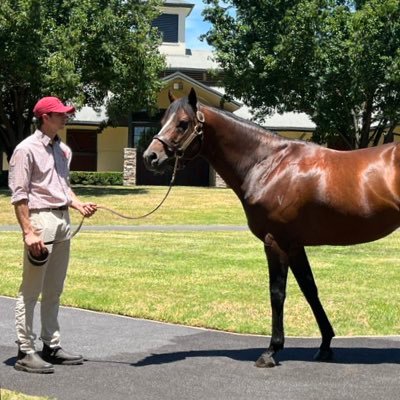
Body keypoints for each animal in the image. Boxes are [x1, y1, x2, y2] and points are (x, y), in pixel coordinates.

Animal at [144, 88, 400, 368]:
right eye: (162, 121)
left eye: (182, 123)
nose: (150, 157)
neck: (268, 163)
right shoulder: (295, 244)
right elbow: (310, 289)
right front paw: (325, 345)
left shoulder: (275, 241)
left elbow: (277, 293)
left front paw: (271, 351)